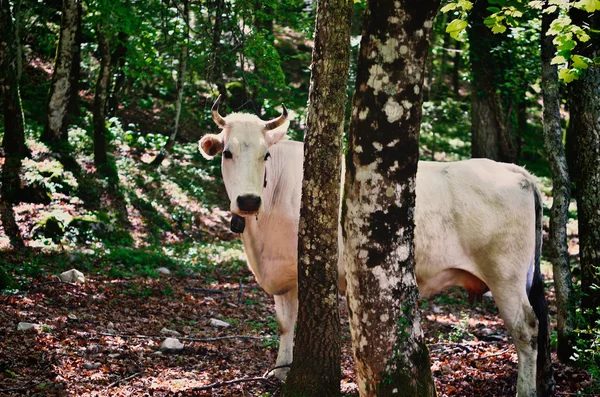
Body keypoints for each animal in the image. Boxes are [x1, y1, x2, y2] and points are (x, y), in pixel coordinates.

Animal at [200, 97, 552, 396]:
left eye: (266, 155)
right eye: (227, 153)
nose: (248, 200)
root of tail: (516, 172)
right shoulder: (283, 276)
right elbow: (285, 323)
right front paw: (281, 371)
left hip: (505, 276)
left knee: (526, 328)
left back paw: (525, 390)